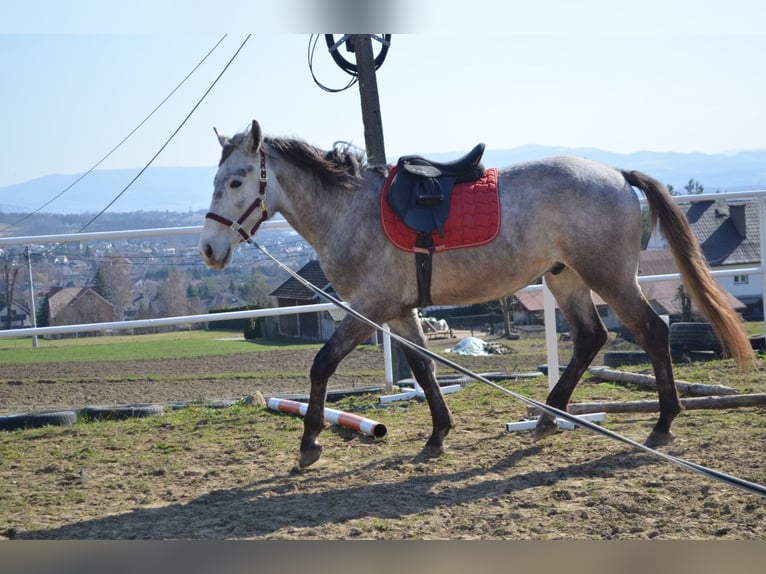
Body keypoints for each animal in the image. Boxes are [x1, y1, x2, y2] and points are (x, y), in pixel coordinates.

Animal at [199, 120, 752, 469]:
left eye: (236, 180)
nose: (208, 249)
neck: (349, 211)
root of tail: (617, 175)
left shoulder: (367, 308)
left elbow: (322, 365)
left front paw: (310, 442)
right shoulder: (397, 311)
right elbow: (423, 368)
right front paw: (437, 435)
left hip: (609, 278)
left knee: (652, 331)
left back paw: (662, 423)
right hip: (566, 277)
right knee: (590, 339)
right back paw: (548, 418)